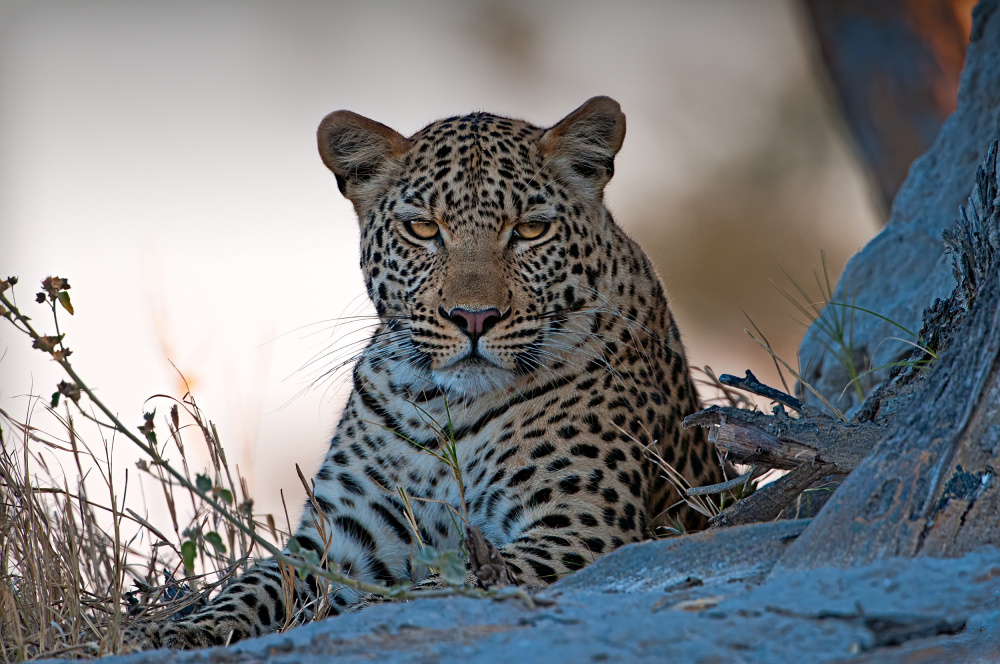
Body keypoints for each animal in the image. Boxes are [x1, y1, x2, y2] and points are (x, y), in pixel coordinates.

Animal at [130, 96, 725, 650]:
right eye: (423, 228)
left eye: (531, 230)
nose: (474, 317)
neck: (448, 406)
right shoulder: (346, 532)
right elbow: (258, 584)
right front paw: (174, 632)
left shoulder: (580, 524)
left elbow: (439, 588)